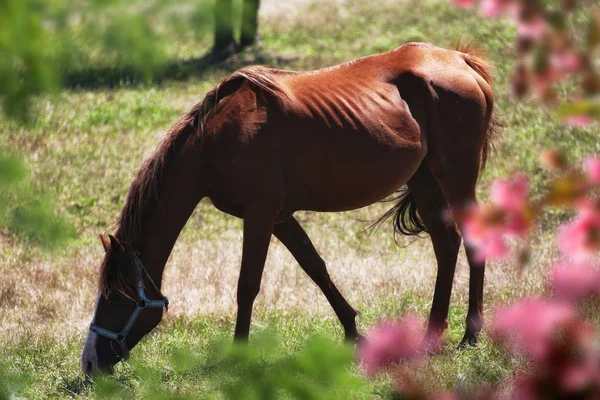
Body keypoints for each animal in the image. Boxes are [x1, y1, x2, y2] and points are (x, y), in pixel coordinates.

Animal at [82, 42, 500, 376]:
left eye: (116, 298)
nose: (89, 362)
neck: (215, 141)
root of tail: (461, 60)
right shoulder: (280, 218)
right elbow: (316, 268)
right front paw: (353, 333)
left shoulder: (260, 214)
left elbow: (247, 285)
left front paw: (237, 355)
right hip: (423, 180)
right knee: (446, 243)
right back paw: (431, 335)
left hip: (454, 176)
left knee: (471, 240)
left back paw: (471, 333)